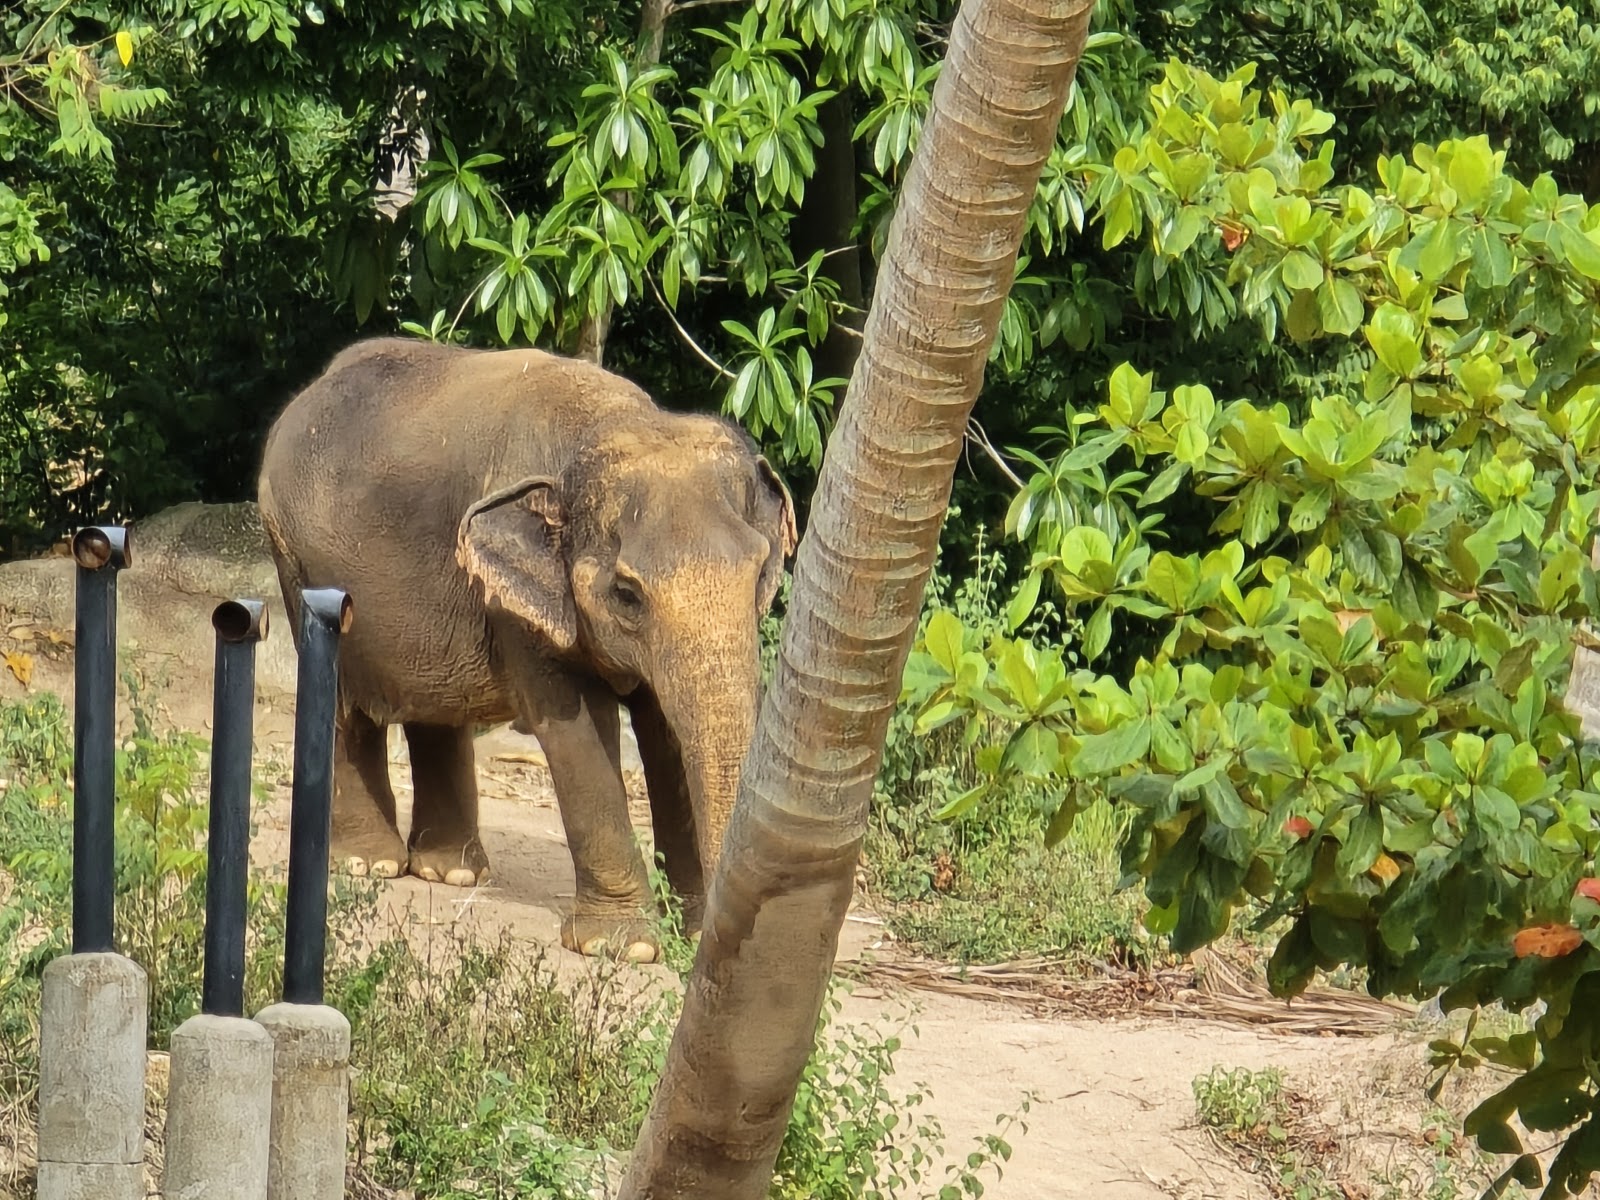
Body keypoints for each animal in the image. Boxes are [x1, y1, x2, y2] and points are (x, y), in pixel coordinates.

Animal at [255, 336, 797, 962]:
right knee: (344, 694)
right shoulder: (517, 614)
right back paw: (370, 865)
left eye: (760, 571)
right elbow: (577, 730)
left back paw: (452, 872)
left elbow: (665, 732)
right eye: (626, 593)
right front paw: (621, 948)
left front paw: (684, 932)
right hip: (294, 560)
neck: (614, 423)